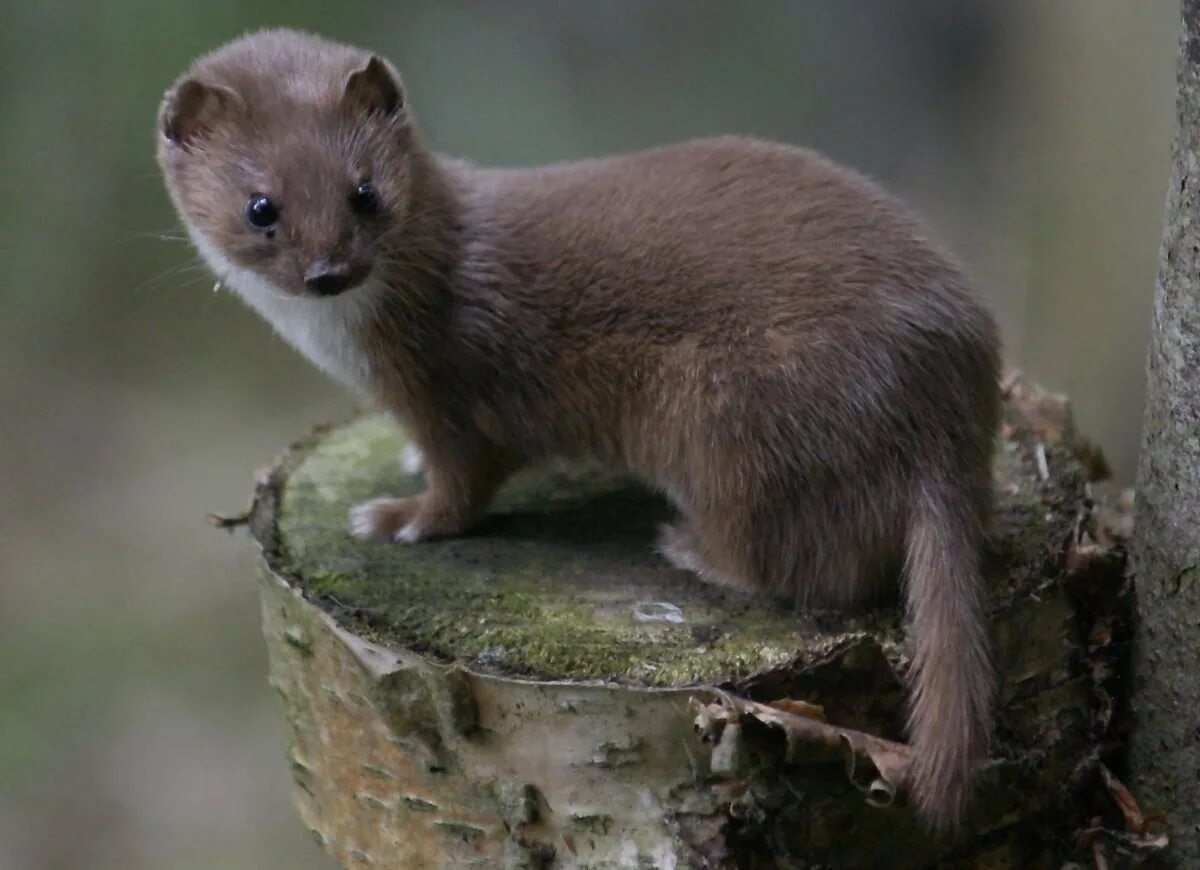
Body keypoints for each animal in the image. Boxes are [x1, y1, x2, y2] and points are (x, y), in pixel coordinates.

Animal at [159, 27, 1003, 830]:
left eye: (364, 192)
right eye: (260, 206)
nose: (330, 271)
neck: (342, 342)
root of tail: (953, 394)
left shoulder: (447, 386)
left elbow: (463, 481)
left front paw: (399, 519)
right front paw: (403, 467)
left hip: (729, 419)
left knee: (820, 567)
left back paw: (691, 548)